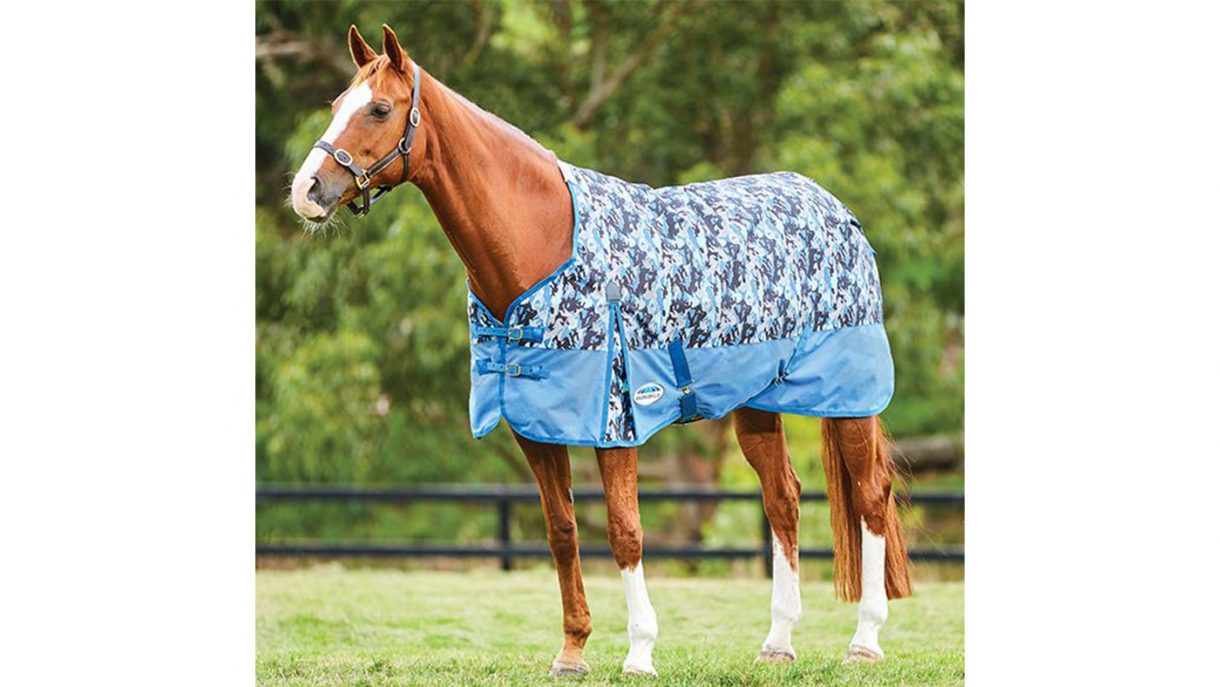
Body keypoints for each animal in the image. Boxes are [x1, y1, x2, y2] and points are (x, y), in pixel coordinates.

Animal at [289, 24, 912, 677]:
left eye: (380, 109)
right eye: (337, 104)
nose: (307, 190)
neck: (542, 244)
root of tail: (834, 207)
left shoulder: (616, 420)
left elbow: (624, 530)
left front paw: (639, 652)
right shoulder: (534, 425)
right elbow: (562, 529)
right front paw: (571, 650)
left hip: (850, 398)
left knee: (870, 496)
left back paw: (865, 640)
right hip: (756, 403)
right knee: (783, 500)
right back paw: (778, 642)